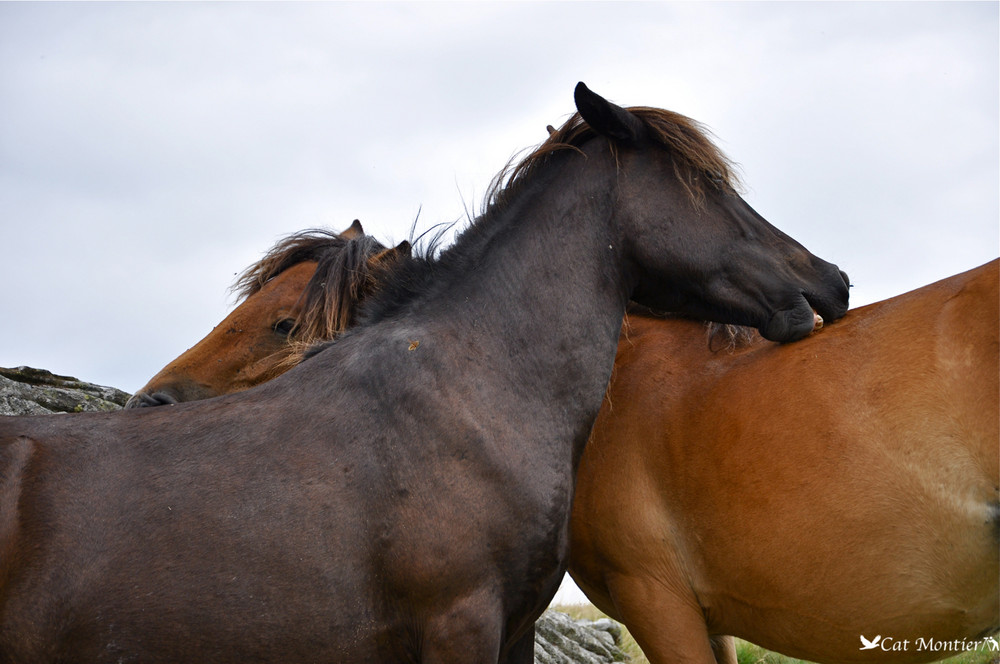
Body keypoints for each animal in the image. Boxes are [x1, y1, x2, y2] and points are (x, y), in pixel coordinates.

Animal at [0, 84, 848, 664]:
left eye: (284, 321)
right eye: (713, 190)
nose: (830, 282)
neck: (467, 397)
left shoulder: (513, 630)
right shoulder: (458, 626)